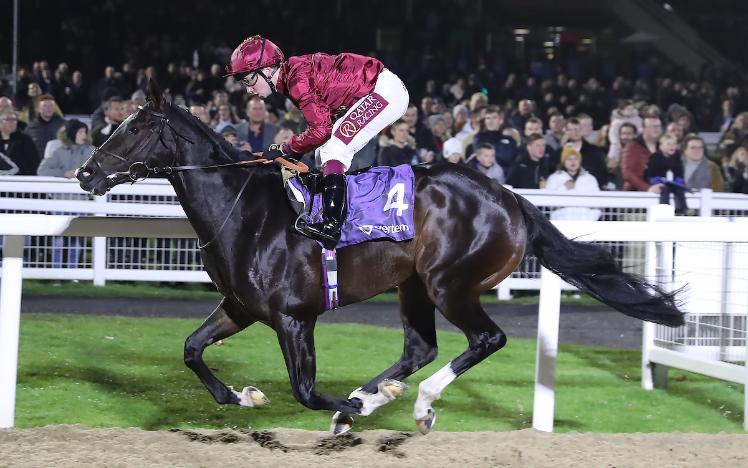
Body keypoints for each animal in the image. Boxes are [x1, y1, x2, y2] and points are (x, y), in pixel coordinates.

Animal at [76, 81, 684, 436]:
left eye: (135, 126)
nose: (86, 172)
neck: (243, 209)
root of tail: (510, 198)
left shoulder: (294, 317)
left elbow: (304, 391)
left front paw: (347, 410)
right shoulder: (241, 306)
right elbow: (191, 349)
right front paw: (242, 395)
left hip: (449, 282)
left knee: (485, 339)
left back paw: (413, 404)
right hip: (414, 284)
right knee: (420, 347)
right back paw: (379, 394)